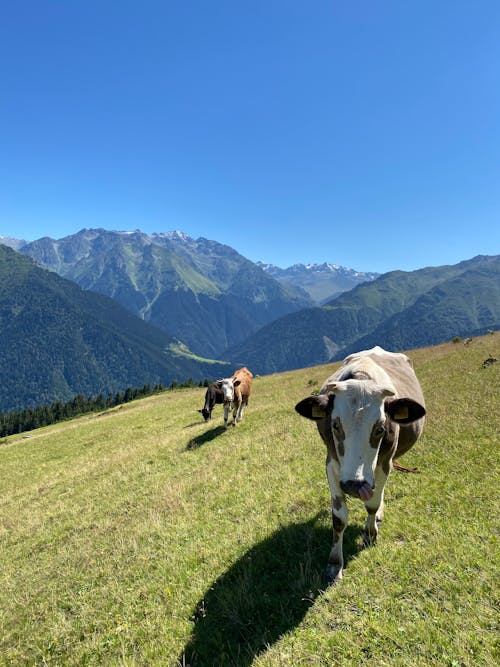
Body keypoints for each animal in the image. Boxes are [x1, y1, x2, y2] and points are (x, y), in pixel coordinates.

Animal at [296, 348, 426, 588]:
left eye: (380, 428)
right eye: (335, 425)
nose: (355, 484)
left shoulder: (385, 462)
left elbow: (372, 504)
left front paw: (371, 533)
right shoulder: (332, 463)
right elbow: (339, 518)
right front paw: (334, 564)